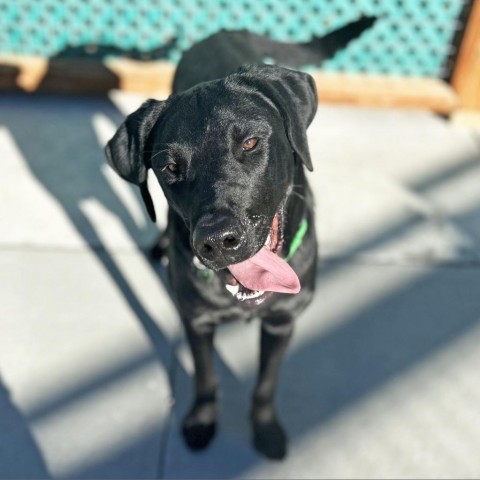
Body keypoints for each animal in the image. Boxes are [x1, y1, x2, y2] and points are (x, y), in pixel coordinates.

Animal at [105, 16, 376, 460]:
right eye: (169, 167)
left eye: (249, 142)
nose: (217, 240)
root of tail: (224, 33)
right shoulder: (197, 320)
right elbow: (204, 377)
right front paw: (202, 419)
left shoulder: (282, 321)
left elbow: (266, 383)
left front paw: (265, 429)